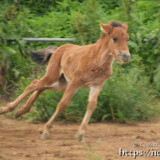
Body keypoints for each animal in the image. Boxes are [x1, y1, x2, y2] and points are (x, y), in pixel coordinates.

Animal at [0, 21, 130, 140]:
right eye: (114, 38)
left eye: (127, 39)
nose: (126, 56)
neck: (98, 60)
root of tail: (58, 49)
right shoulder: (76, 81)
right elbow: (63, 103)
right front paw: (46, 130)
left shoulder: (96, 85)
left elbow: (92, 105)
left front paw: (80, 133)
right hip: (53, 76)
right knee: (34, 84)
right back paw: (7, 109)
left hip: (61, 83)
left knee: (40, 87)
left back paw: (20, 111)